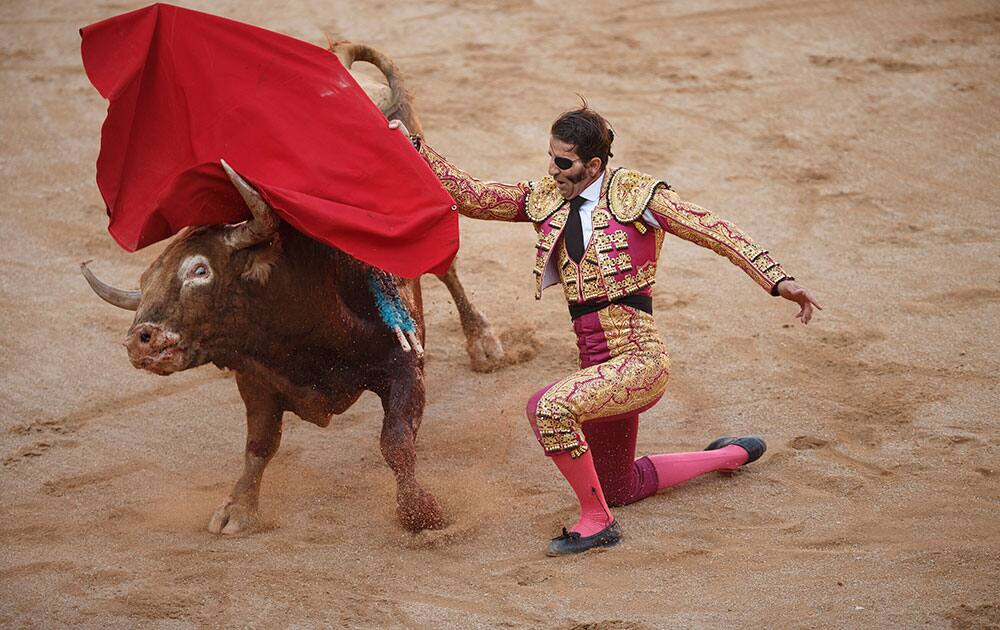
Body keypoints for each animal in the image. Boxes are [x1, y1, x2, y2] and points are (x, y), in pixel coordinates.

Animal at [85, 42, 504, 536]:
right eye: (145, 281)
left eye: (199, 270)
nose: (139, 341)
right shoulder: (257, 377)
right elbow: (260, 443)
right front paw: (238, 509)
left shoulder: (403, 364)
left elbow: (396, 440)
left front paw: (420, 511)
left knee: (448, 269)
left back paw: (484, 344)